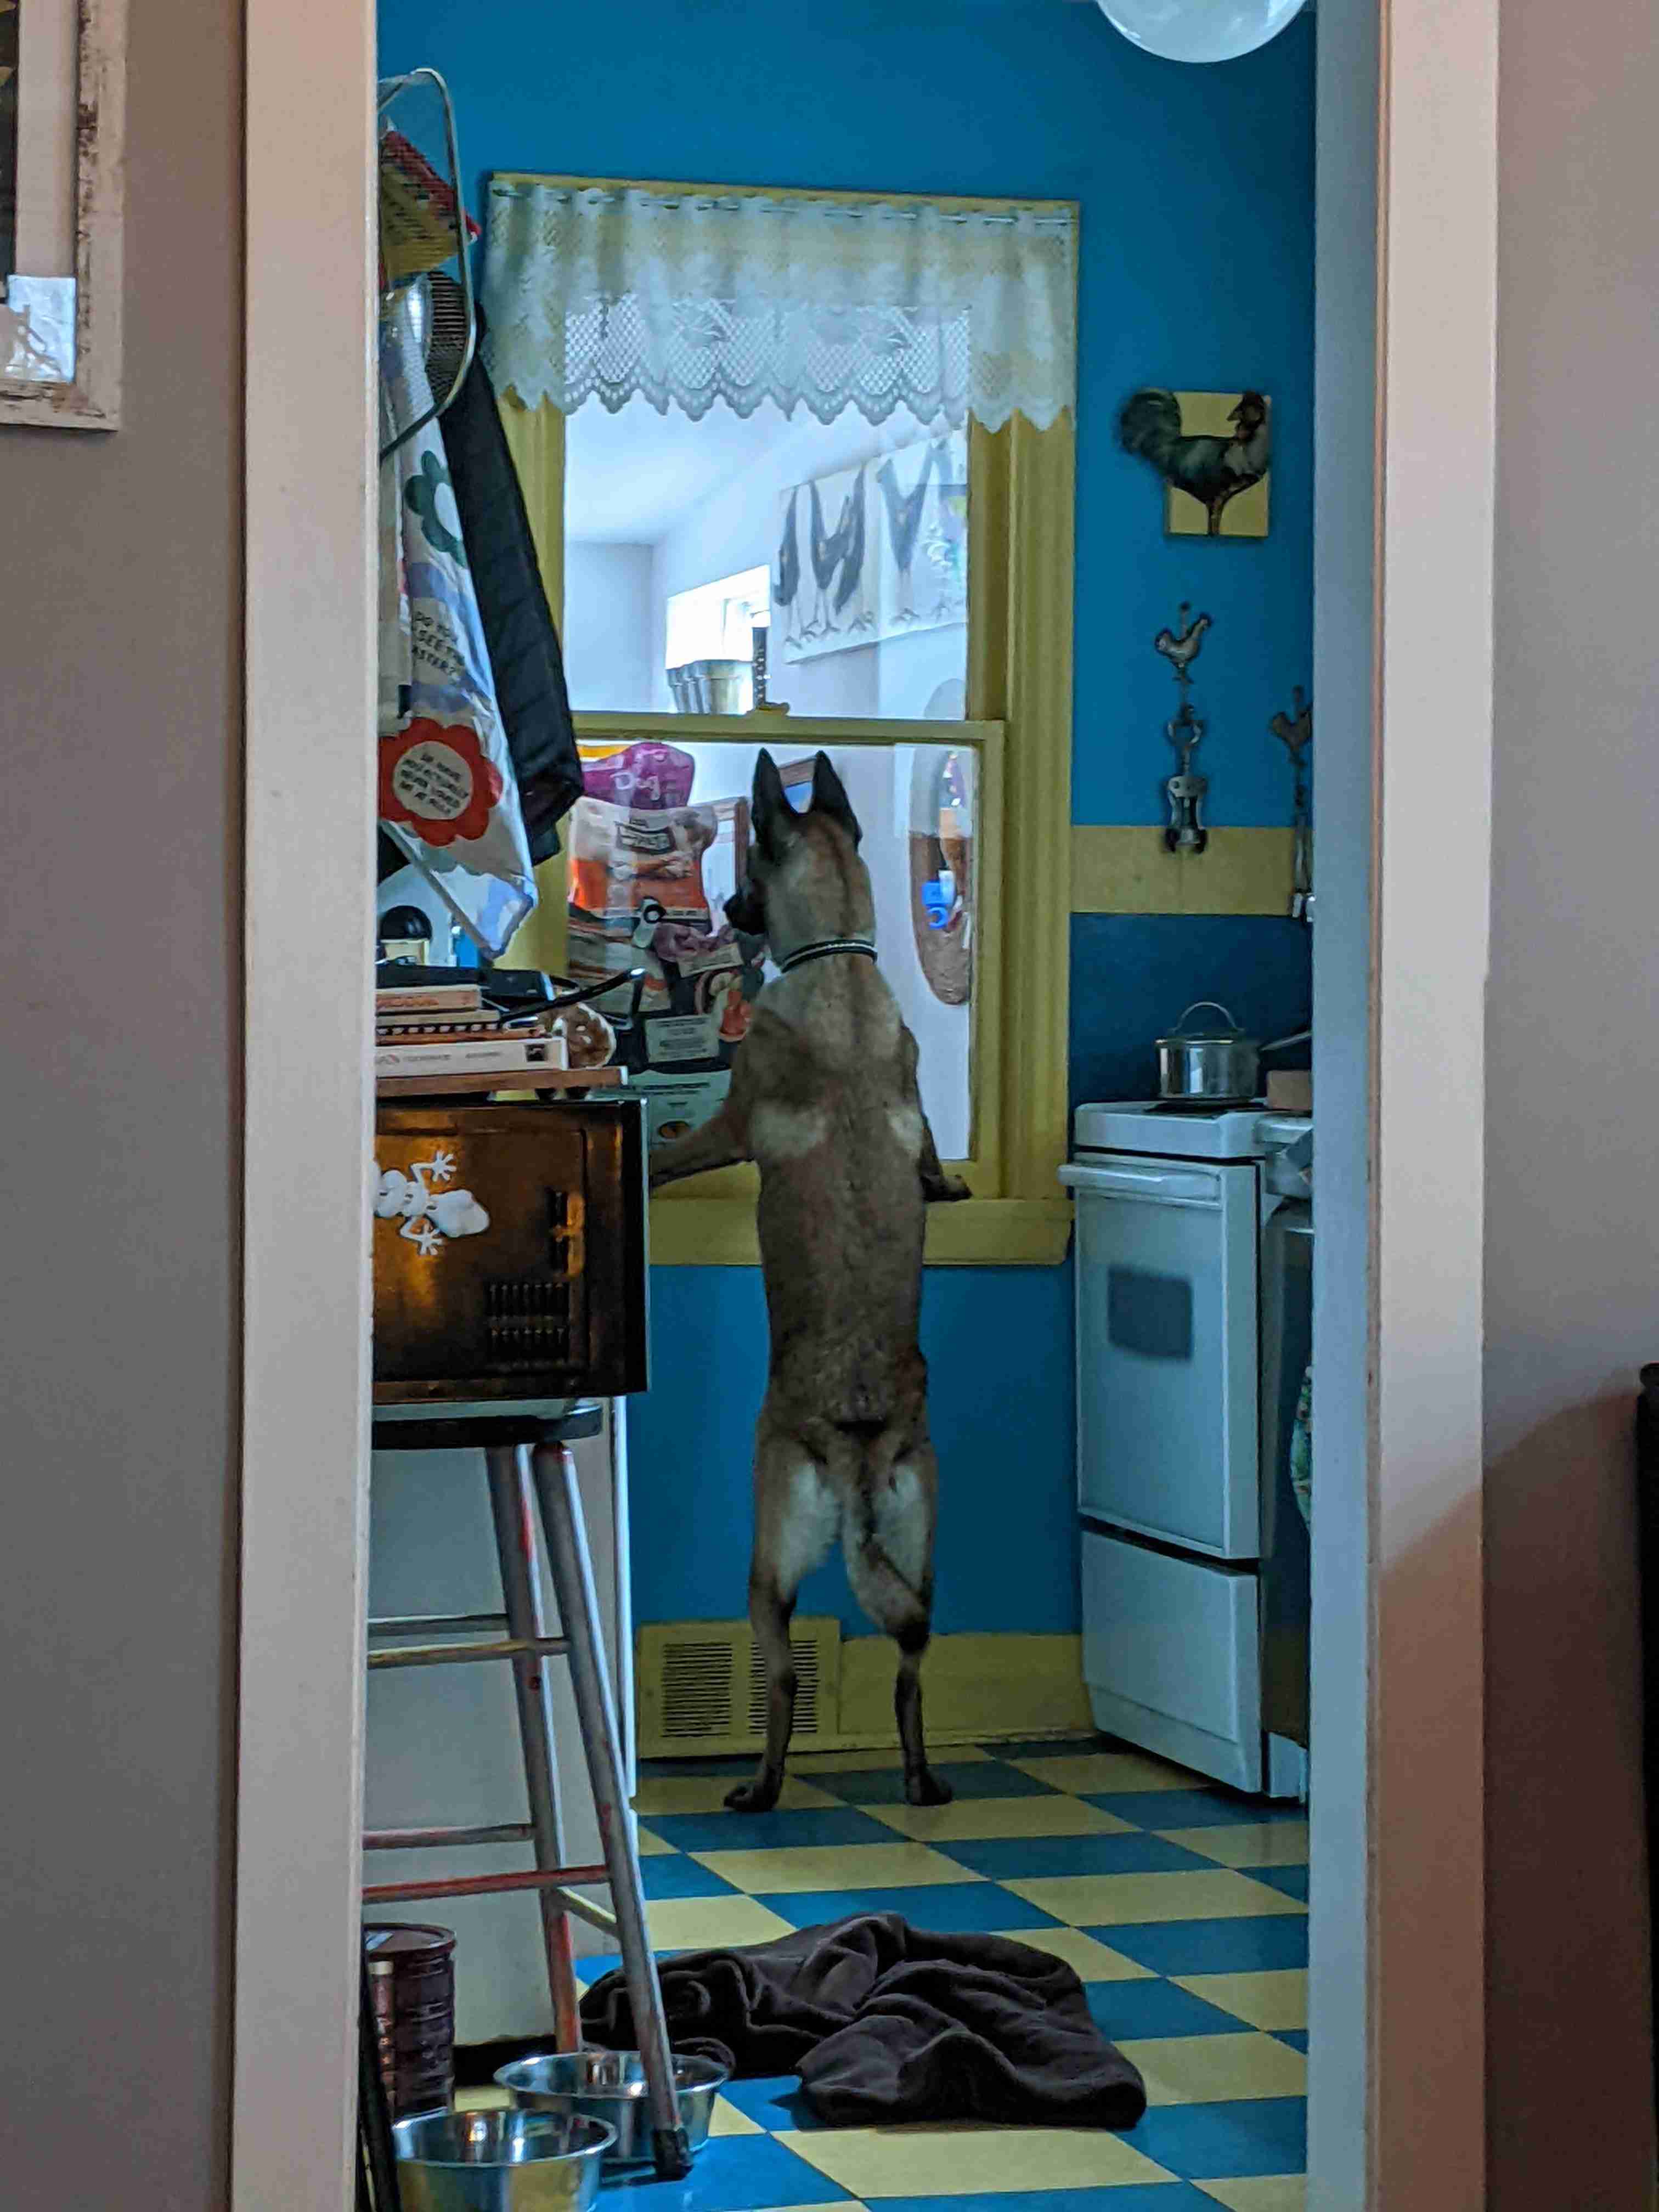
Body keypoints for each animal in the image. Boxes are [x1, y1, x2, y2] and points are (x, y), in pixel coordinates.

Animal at [641, 752, 969, 1805]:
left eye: (750, 868)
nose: (727, 906)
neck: (840, 960)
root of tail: (859, 1444)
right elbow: (931, 1155)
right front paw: (949, 1185)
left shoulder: (732, 1119)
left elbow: (682, 1148)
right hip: (920, 1550)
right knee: (911, 1669)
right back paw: (919, 1782)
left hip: (765, 1557)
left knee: (782, 1678)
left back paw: (760, 1789)